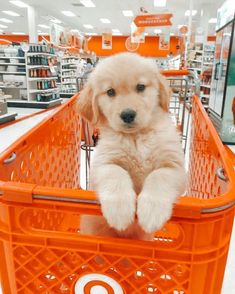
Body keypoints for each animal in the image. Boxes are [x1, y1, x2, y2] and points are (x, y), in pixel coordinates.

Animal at [78, 52, 186, 240]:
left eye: (141, 87)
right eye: (110, 92)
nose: (127, 114)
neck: (136, 137)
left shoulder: (175, 167)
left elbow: (159, 176)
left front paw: (152, 211)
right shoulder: (102, 164)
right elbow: (115, 172)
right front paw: (119, 210)